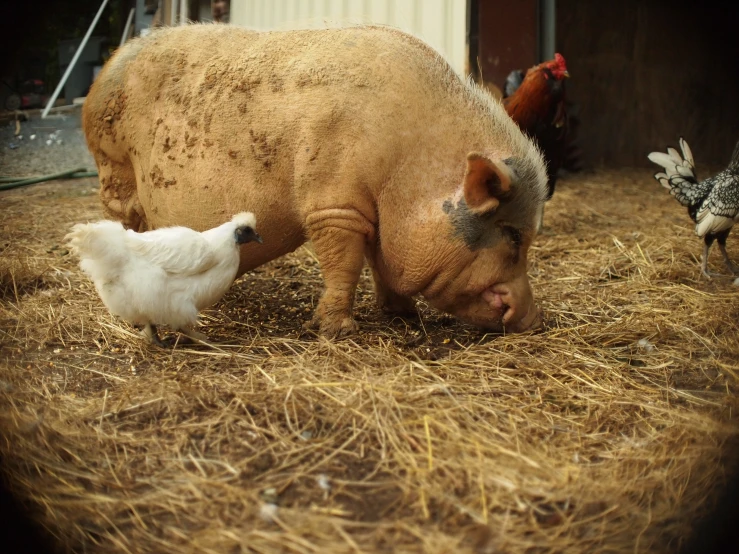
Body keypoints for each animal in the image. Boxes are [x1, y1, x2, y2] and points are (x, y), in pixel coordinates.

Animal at [85, 23, 548, 336]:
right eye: (511, 235)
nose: (532, 317)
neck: (410, 170)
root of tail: (105, 70)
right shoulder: (335, 203)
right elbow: (345, 263)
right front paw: (338, 331)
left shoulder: (375, 214)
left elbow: (380, 263)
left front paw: (403, 315)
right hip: (113, 170)